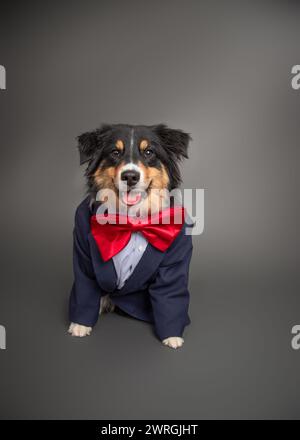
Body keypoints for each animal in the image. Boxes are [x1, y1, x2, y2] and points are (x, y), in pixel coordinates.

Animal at [68, 123, 193, 348]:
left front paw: (172, 336)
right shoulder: (82, 254)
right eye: (115, 152)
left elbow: (170, 294)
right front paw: (80, 324)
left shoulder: (175, 261)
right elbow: (85, 287)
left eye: (149, 152)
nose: (130, 176)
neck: (131, 220)